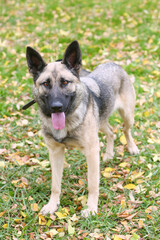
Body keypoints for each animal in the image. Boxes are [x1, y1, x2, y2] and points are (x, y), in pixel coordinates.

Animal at [26, 40, 139, 217]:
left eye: (65, 82)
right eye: (45, 84)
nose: (56, 107)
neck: (68, 119)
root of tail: (113, 64)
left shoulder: (91, 152)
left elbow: (93, 184)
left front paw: (91, 208)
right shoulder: (56, 152)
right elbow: (55, 184)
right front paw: (53, 205)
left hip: (127, 116)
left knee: (125, 130)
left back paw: (132, 147)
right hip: (101, 122)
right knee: (111, 133)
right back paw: (109, 154)